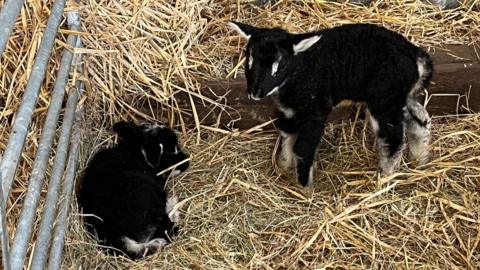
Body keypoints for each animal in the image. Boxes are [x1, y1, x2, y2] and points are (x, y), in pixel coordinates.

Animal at [227, 22, 434, 187]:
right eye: (248, 60)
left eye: (281, 65)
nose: (255, 92)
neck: (301, 70)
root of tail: (416, 55)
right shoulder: (290, 111)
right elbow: (287, 135)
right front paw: (283, 167)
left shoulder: (317, 111)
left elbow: (303, 147)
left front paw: (305, 189)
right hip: (398, 95)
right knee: (419, 118)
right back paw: (420, 159)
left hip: (384, 98)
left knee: (393, 137)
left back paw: (385, 177)